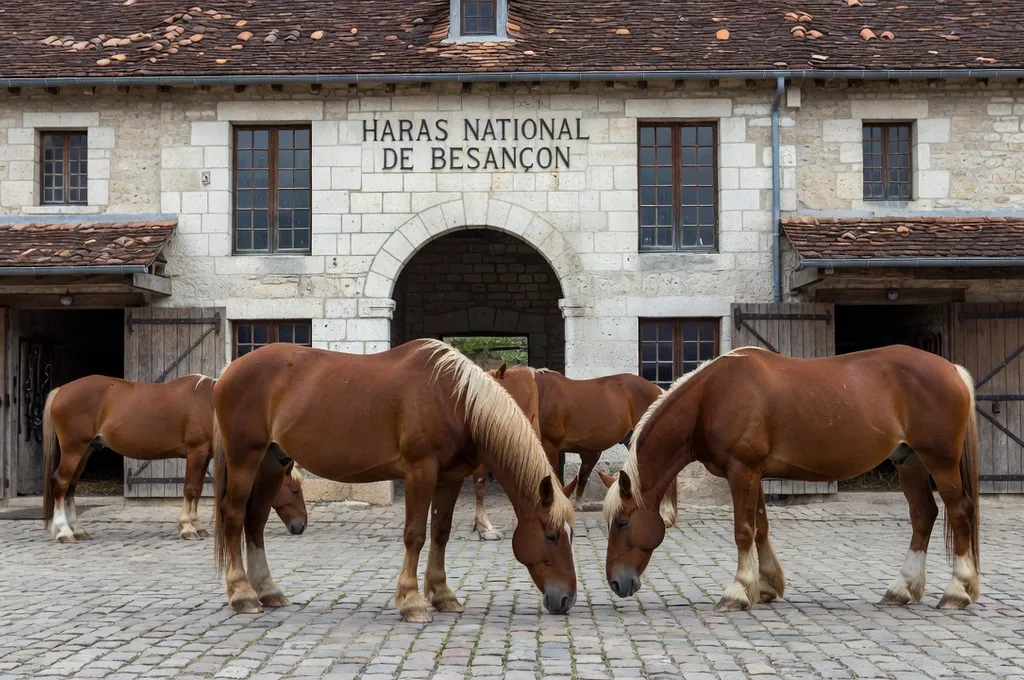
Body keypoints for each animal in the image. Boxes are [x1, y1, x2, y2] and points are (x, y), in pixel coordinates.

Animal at [42, 374, 307, 543]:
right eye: (294, 490)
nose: (301, 525)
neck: (212, 405)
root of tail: (61, 390)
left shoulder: (205, 454)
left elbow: (197, 491)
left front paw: (197, 526)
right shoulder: (196, 452)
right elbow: (190, 489)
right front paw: (188, 528)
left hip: (85, 450)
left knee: (71, 488)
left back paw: (78, 530)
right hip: (74, 449)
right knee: (61, 484)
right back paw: (64, 532)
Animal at [211, 339, 578, 623]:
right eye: (550, 535)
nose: (566, 599)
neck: (454, 398)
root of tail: (227, 372)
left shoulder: (450, 479)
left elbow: (441, 533)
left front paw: (443, 595)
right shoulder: (421, 472)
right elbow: (415, 535)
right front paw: (411, 601)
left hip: (273, 464)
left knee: (255, 522)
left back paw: (268, 591)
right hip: (245, 459)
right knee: (235, 517)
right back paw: (242, 595)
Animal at [602, 345, 981, 612]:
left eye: (622, 523)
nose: (617, 583)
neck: (712, 396)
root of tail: (952, 369)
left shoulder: (741, 471)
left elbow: (743, 531)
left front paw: (737, 592)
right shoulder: (753, 473)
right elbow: (760, 527)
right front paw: (766, 585)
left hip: (939, 462)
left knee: (959, 512)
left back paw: (957, 591)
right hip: (909, 462)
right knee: (923, 516)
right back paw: (901, 589)